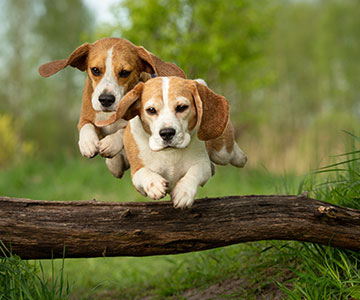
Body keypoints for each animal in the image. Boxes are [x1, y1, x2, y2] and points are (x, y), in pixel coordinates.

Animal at [38, 37, 186, 178]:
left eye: (124, 72)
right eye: (95, 70)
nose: (106, 99)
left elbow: (124, 129)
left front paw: (111, 144)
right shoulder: (85, 117)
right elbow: (86, 125)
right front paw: (87, 143)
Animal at [95, 77, 248, 209]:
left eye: (181, 107)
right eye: (151, 110)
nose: (167, 133)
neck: (170, 154)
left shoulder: (202, 164)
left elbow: (194, 171)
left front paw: (183, 192)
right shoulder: (136, 175)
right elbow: (144, 172)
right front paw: (155, 184)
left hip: (222, 153)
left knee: (231, 154)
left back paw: (241, 157)